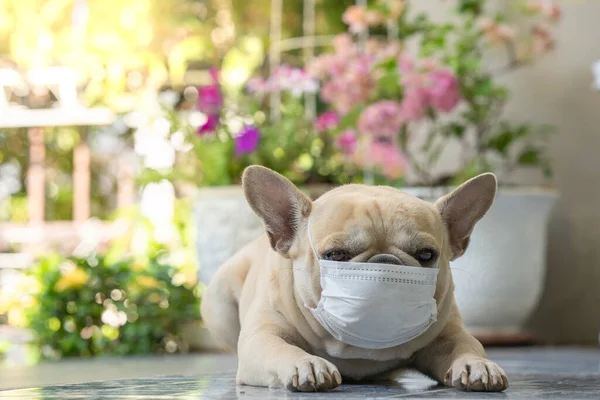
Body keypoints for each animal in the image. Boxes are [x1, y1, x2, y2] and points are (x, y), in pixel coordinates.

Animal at [202, 164, 506, 392]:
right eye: (335, 254)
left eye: (426, 255)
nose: (385, 262)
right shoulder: (261, 337)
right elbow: (280, 348)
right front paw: (306, 364)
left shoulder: (448, 333)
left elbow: (467, 345)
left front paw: (476, 364)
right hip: (219, 302)